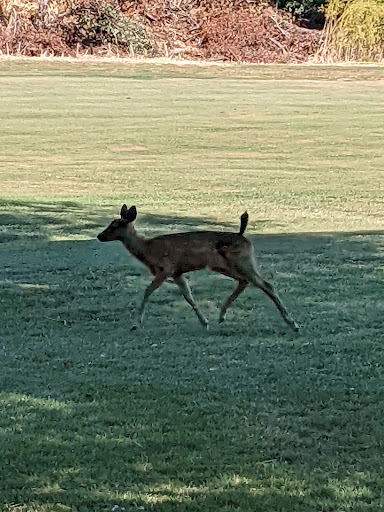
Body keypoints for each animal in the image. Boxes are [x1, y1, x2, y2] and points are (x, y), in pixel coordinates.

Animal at [97, 204, 300, 332]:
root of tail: (243, 236)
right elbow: (188, 296)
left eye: (113, 226)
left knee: (265, 284)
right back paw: (221, 316)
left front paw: (135, 324)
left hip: (242, 261)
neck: (148, 250)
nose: (99, 236)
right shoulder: (177, 273)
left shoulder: (166, 268)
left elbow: (147, 291)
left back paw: (293, 324)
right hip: (224, 265)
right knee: (245, 281)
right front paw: (205, 322)